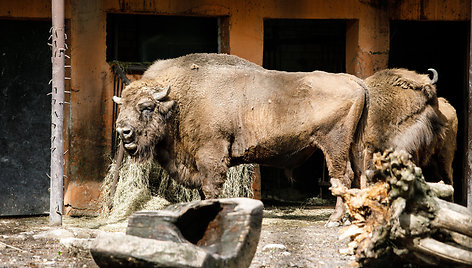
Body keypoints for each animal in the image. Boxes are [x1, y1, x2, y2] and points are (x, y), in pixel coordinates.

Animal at [112, 52, 366, 224]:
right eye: (122, 105)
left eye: (146, 107)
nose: (123, 131)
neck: (179, 101)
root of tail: (355, 80)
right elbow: (203, 190)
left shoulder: (211, 156)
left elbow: (210, 188)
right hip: (352, 146)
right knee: (355, 174)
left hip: (334, 145)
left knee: (341, 177)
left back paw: (334, 219)